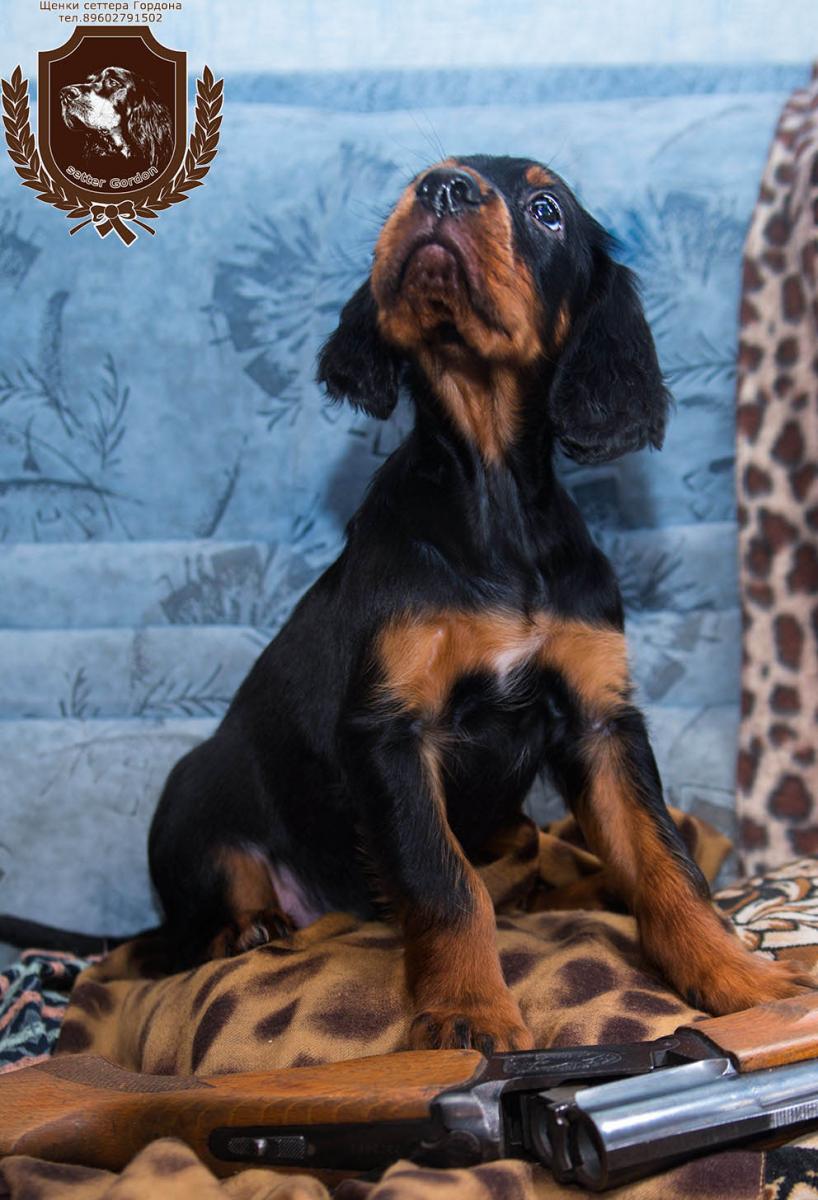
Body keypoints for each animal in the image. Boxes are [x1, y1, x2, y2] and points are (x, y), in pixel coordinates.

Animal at [148, 156, 812, 1052]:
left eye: (546, 208)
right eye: (420, 176)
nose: (443, 187)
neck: (492, 498)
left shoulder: (599, 721)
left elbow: (667, 862)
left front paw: (737, 977)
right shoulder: (390, 733)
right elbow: (445, 880)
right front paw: (468, 1010)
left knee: (529, 845)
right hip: (194, 799)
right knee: (190, 929)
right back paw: (247, 929)